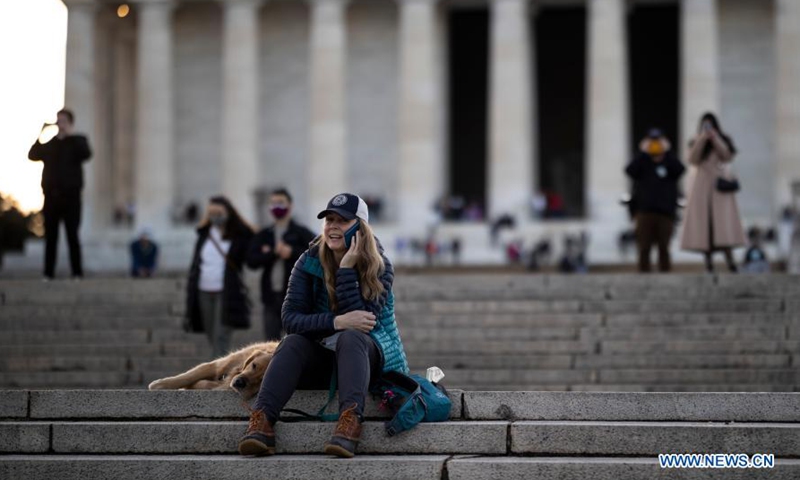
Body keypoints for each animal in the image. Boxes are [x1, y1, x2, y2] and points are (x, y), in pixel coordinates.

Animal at [148, 344, 280, 400]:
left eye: (261, 381)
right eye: (254, 365)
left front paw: (193, 386)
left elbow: (205, 384)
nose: (240, 382)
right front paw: (159, 384)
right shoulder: (218, 365)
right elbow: (189, 376)